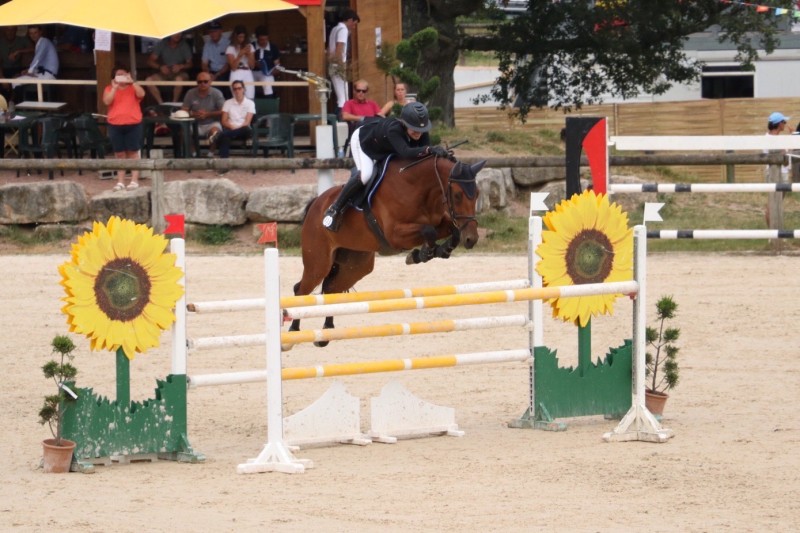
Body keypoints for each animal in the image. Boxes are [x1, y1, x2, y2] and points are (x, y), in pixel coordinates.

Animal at [287, 153, 486, 347]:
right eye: (458, 195)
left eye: (477, 194)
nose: (472, 239)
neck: (420, 188)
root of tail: (316, 203)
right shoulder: (395, 234)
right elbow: (428, 230)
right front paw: (421, 254)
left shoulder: (440, 222)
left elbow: (452, 231)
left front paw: (437, 251)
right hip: (318, 263)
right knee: (301, 290)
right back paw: (293, 332)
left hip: (356, 266)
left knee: (330, 289)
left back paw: (325, 333)